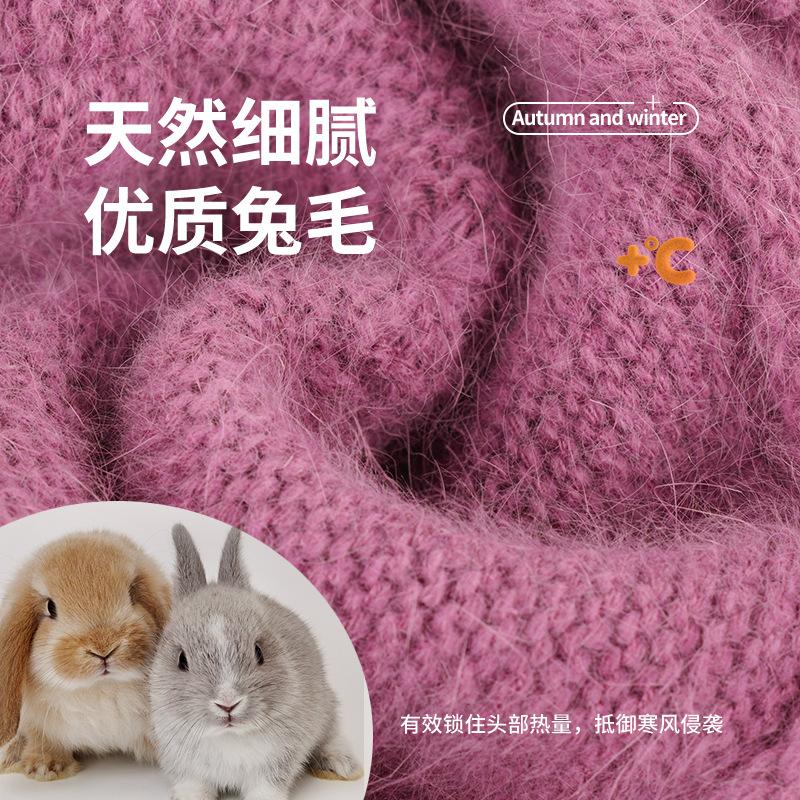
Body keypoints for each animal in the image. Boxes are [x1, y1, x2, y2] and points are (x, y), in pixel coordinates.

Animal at [0, 531, 171, 781]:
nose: (103, 648)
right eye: (50, 607)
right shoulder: (37, 722)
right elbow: (42, 739)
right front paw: (45, 767)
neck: (99, 689)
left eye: (132, 594)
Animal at [149, 525, 362, 800]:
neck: (229, 737)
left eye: (259, 651)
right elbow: (192, 787)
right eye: (181, 660)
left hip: (327, 708)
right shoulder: (187, 769)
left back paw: (342, 765)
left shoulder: (276, 764)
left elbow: (265, 789)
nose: (228, 703)